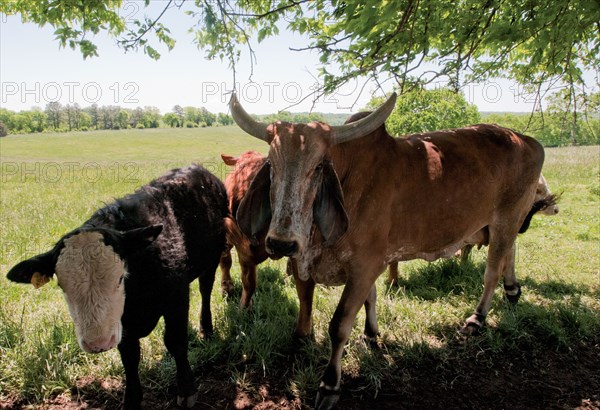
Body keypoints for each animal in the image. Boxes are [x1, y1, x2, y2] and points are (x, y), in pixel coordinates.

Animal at [229, 93, 544, 410]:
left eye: (318, 166)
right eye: (272, 165)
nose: (282, 243)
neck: (349, 178)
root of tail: (527, 140)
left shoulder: (364, 266)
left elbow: (339, 324)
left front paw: (330, 384)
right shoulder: (314, 264)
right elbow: (327, 310)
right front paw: (369, 334)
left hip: (506, 219)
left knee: (492, 271)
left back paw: (477, 317)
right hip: (502, 223)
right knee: (509, 253)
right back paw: (512, 291)